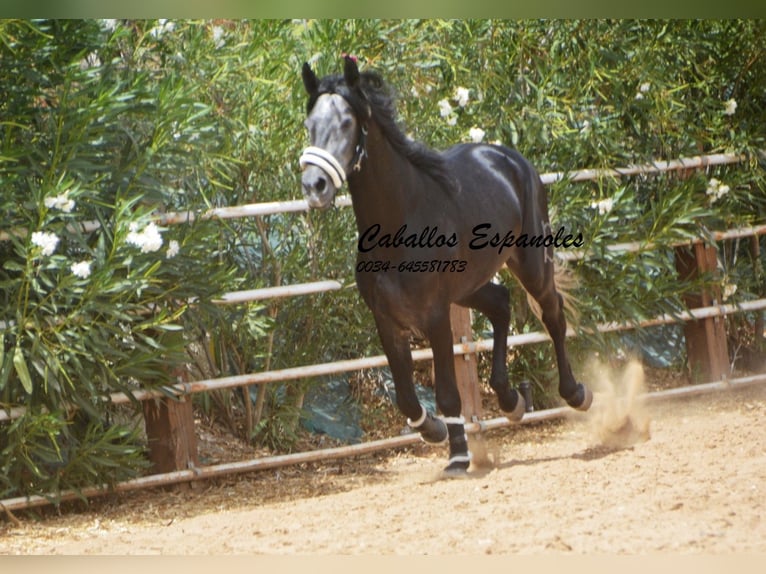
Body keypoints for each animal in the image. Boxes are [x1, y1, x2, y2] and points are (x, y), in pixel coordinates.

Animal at [300, 56, 592, 474]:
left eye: (346, 123)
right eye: (309, 124)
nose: (315, 186)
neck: (399, 224)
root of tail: (507, 157)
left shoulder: (436, 315)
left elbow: (448, 393)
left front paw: (457, 455)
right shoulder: (387, 321)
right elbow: (407, 397)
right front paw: (433, 431)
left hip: (532, 264)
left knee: (552, 313)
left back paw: (576, 393)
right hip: (469, 285)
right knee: (501, 304)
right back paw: (511, 401)